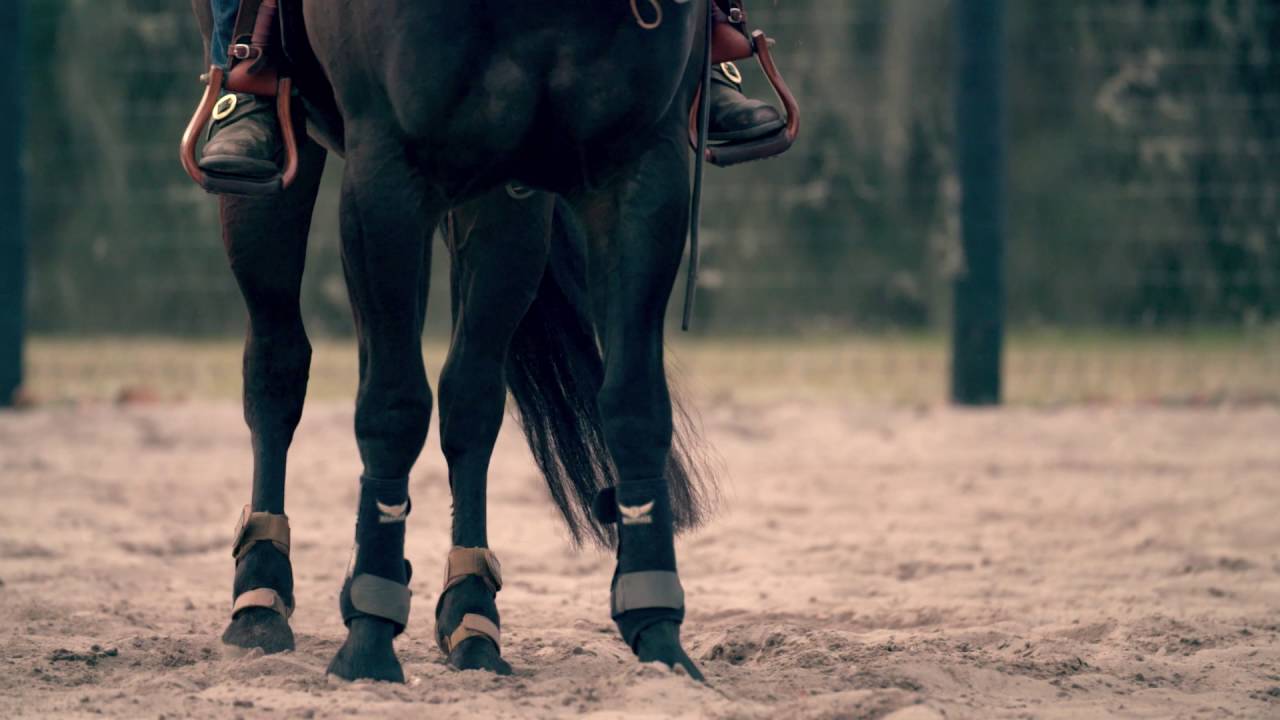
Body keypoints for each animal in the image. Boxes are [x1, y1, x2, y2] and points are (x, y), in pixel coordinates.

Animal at [190, 0, 721, 683]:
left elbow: (632, 404)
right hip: (278, 175)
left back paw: (472, 616)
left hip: (505, 209)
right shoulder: (386, 181)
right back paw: (259, 597)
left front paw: (658, 632)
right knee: (276, 365)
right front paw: (368, 638)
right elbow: (392, 408)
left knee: (470, 397)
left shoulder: (638, 173)